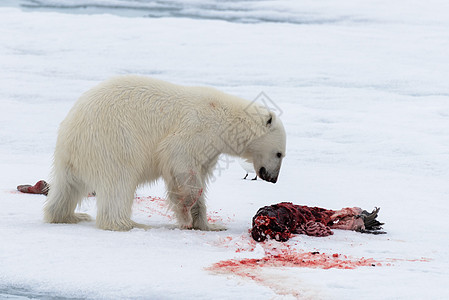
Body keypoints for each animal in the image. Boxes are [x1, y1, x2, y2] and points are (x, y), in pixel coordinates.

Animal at [43, 76, 286, 231]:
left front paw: (209, 225)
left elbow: (197, 176)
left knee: (66, 188)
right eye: (279, 154)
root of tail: (71, 134)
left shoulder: (209, 150)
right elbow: (179, 160)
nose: (273, 179)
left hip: (71, 159)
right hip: (114, 141)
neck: (223, 116)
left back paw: (69, 215)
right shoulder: (196, 130)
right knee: (119, 182)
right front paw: (186, 211)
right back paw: (129, 224)